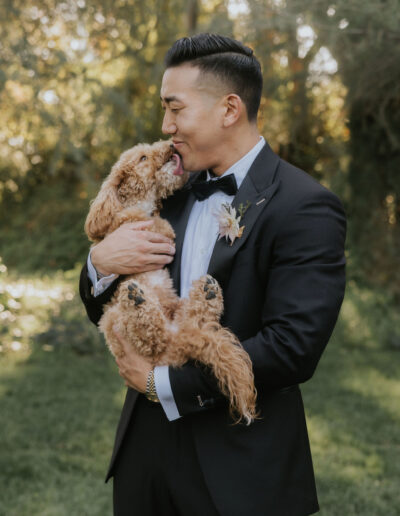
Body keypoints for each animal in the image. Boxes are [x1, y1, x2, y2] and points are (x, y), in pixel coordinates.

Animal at [86, 138, 258, 424]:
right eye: (143, 158)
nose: (169, 145)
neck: (141, 205)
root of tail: (181, 339)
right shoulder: (129, 226)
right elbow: (131, 221)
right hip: (114, 319)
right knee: (152, 336)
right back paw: (139, 299)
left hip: (175, 313)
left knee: (194, 317)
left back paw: (207, 292)